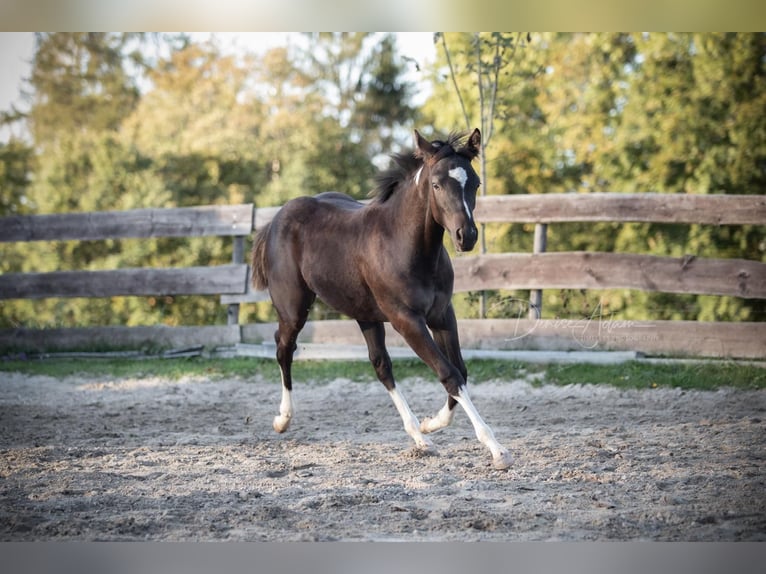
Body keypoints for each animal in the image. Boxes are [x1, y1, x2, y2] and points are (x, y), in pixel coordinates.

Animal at [250, 128, 512, 470]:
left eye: (475, 183)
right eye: (437, 185)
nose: (465, 236)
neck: (407, 247)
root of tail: (276, 219)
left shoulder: (442, 314)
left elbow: (460, 371)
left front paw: (430, 423)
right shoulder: (407, 320)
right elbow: (449, 374)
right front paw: (497, 449)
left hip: (365, 313)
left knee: (380, 365)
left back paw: (420, 437)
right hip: (294, 309)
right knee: (284, 348)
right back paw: (282, 420)